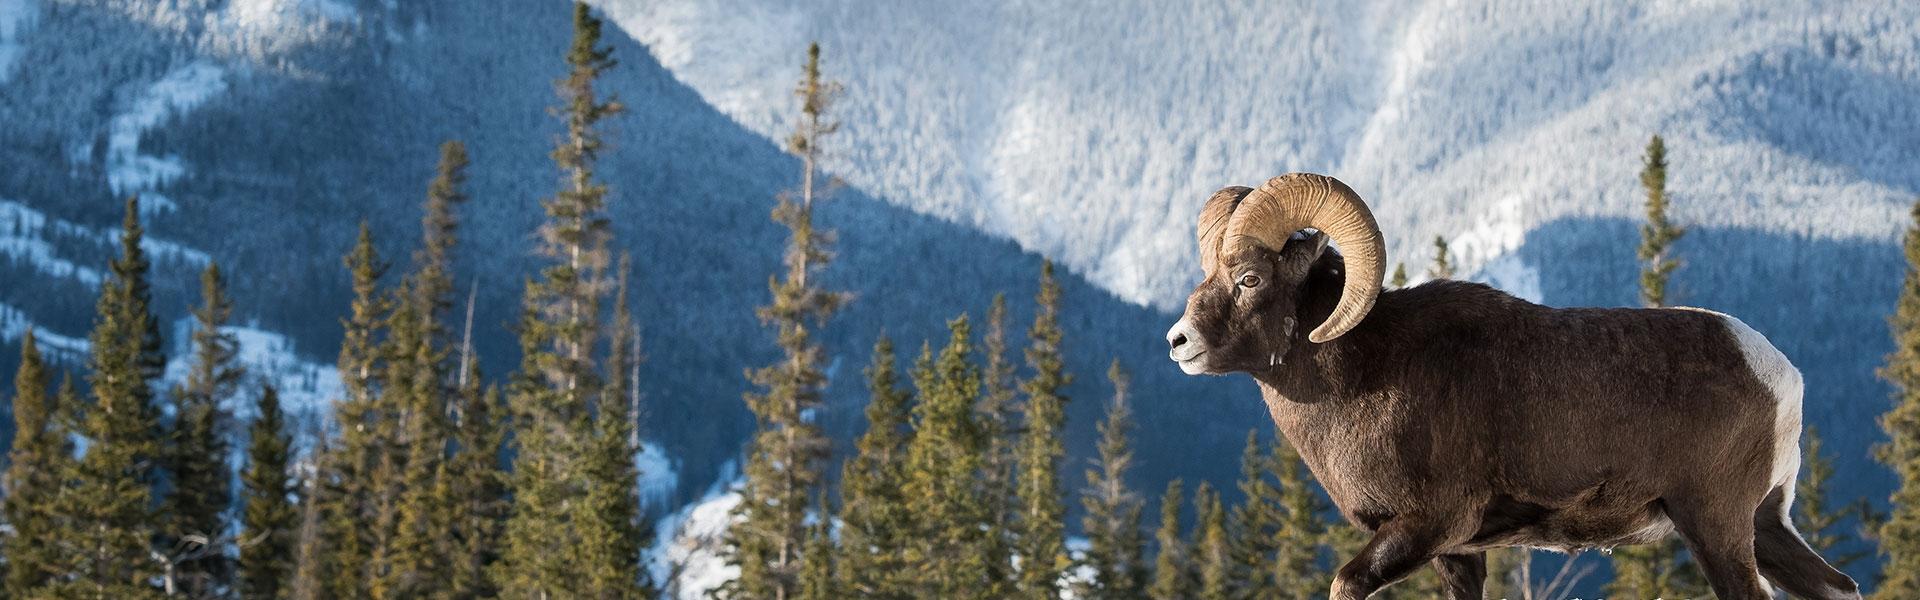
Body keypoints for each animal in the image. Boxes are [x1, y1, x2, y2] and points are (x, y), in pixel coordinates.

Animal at [1163, 173, 1861, 600]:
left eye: (1250, 278)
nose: (1178, 342)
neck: (1363, 376)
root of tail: (1782, 377)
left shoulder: (1426, 528)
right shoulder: (1458, 552)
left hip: (1715, 524)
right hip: (1764, 524)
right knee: (1838, 586)